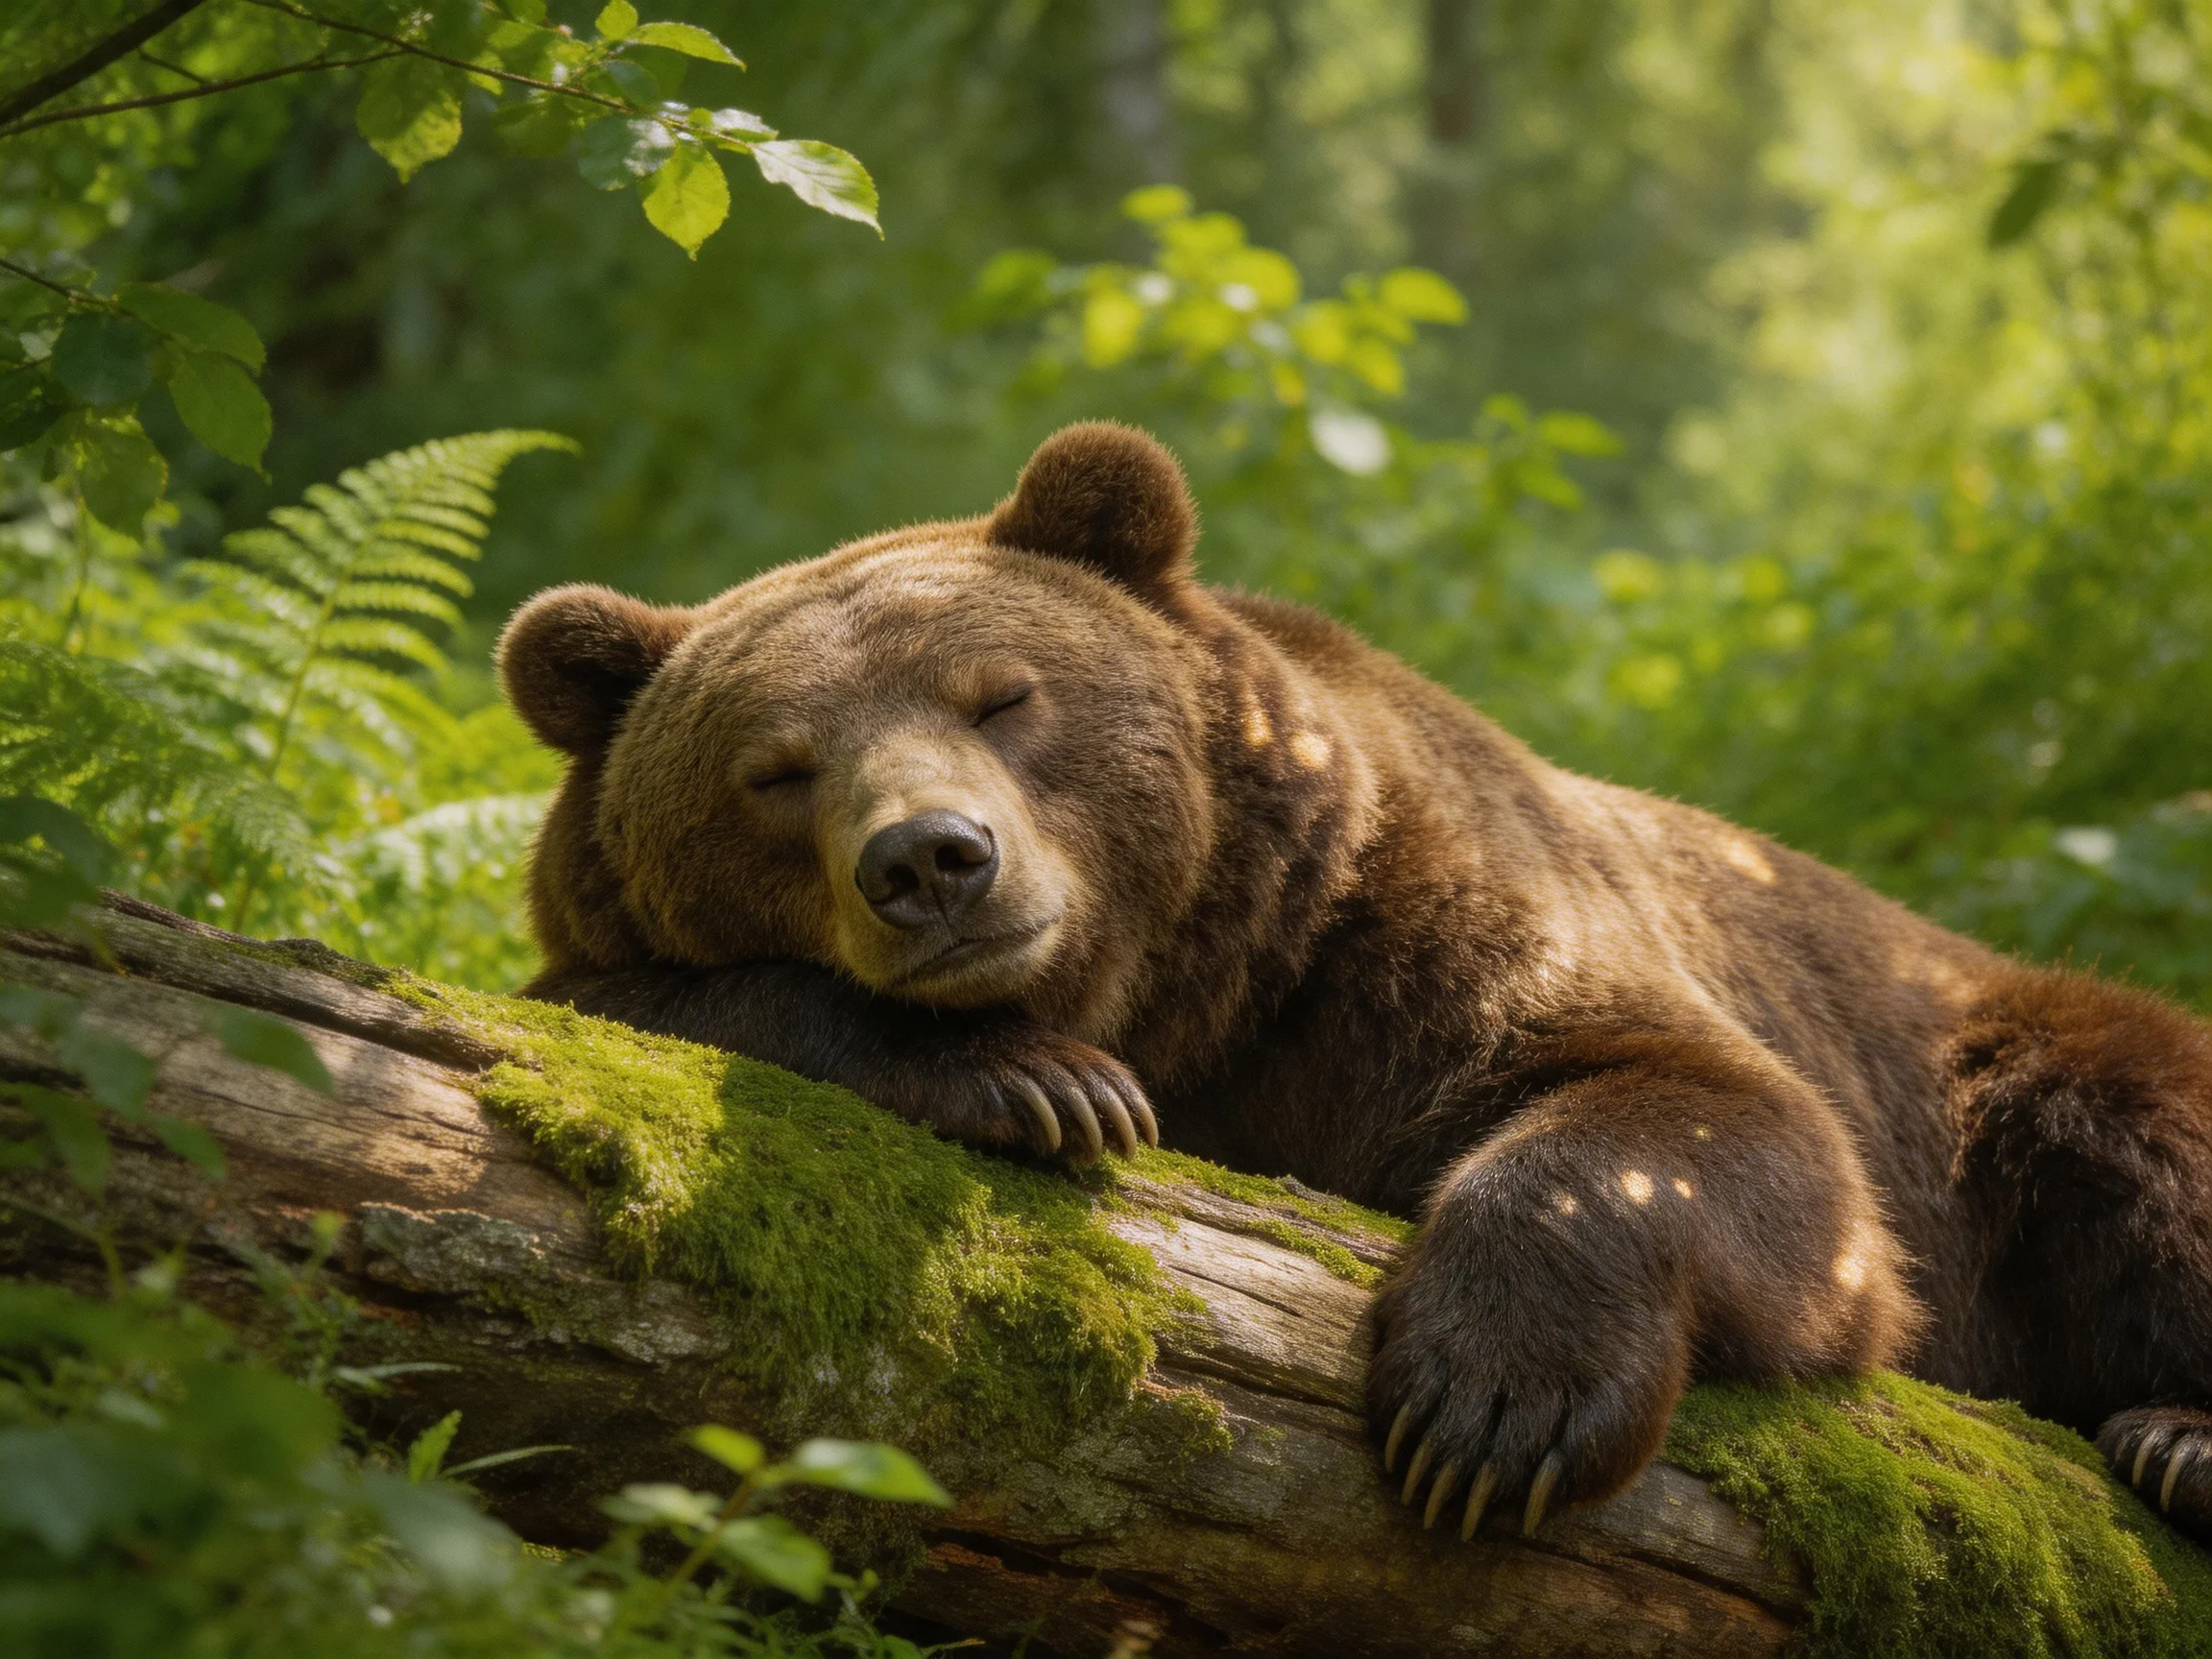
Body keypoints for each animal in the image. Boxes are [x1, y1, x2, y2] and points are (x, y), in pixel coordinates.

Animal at [500, 421, 2212, 1543]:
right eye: (778, 771)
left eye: (1003, 695)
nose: (930, 860)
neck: (1189, 990)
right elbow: (623, 1000)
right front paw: (1039, 1081)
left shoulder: (1410, 939)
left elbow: (1717, 1119)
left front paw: (1495, 1410)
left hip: (2009, 1058)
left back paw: (2177, 1437)